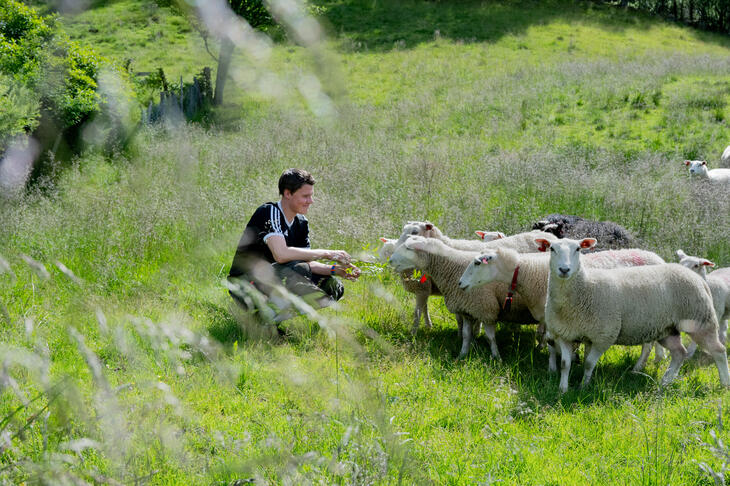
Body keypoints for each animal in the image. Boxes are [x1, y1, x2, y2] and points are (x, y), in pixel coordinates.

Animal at [386, 235, 536, 360]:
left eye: (408, 248)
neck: (451, 267)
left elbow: (490, 337)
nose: (390, 260)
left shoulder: (486, 308)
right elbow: (466, 334)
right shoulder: (467, 309)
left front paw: (496, 357)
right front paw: (463, 355)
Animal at [460, 245, 664, 374]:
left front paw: (553, 367)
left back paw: (638, 368)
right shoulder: (550, 318)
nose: (460, 283)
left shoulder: (555, 318)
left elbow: (550, 343)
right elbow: (549, 341)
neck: (529, 273)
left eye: (477, 263)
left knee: (647, 344)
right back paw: (655, 360)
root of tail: (658, 258)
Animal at [540, 237, 724, 392]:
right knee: (679, 353)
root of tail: (699, 280)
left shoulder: (604, 336)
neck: (585, 286)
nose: (564, 269)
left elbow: (589, 364)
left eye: (578, 249)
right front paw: (563, 389)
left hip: (700, 321)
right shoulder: (564, 334)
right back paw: (664, 383)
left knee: (719, 350)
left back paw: (724, 384)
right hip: (667, 329)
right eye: (552, 249)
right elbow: (565, 364)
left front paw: (583, 387)